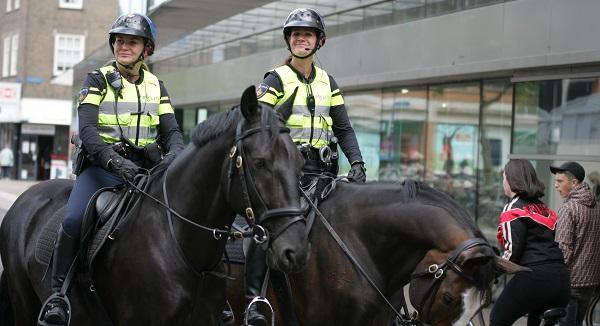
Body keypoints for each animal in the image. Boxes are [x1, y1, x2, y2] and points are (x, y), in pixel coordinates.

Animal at [0, 85, 310, 324]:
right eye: (260, 163)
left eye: (299, 161)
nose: (295, 251)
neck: (180, 242)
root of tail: (27, 196)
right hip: (23, 304)